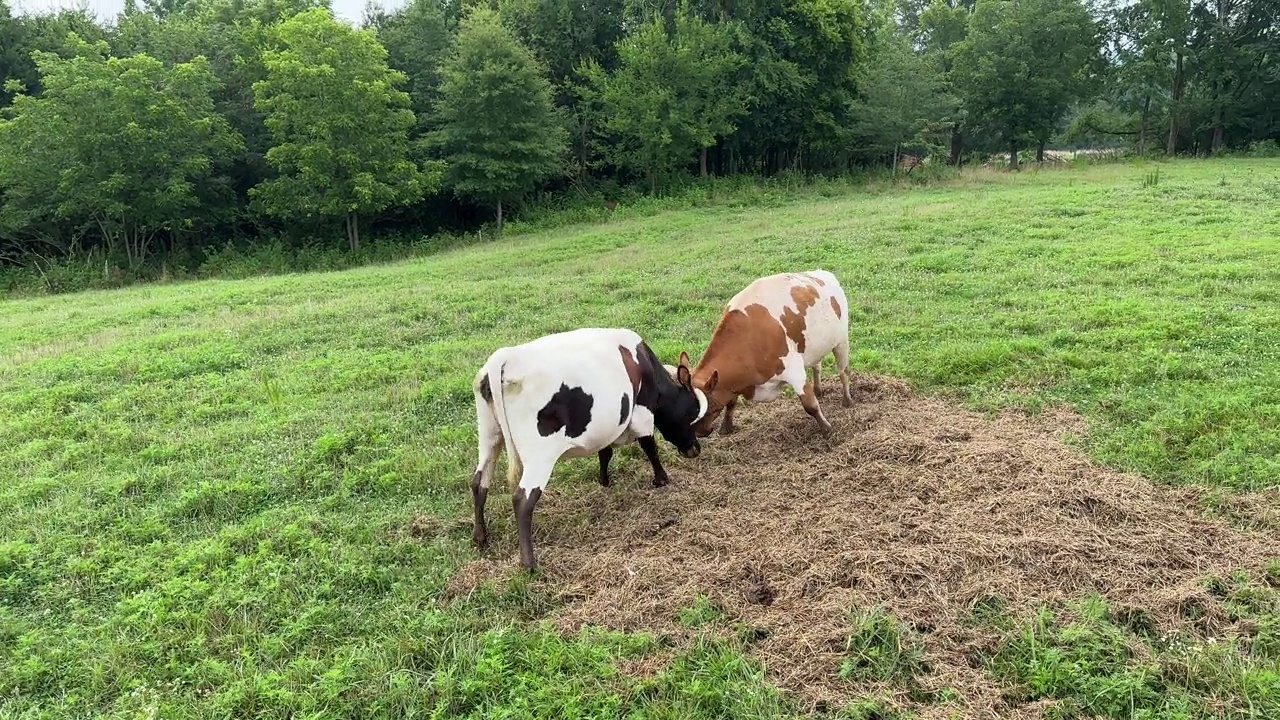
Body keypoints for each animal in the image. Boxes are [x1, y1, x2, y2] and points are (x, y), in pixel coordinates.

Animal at [471, 325, 716, 566]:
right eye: (693, 412)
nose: (695, 449)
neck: (644, 365)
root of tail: (505, 357)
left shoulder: (604, 427)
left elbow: (605, 452)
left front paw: (604, 481)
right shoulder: (642, 414)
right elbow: (649, 446)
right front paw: (661, 479)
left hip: (489, 438)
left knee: (478, 483)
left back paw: (480, 537)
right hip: (539, 456)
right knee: (523, 499)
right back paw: (529, 563)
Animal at [686, 269, 855, 435]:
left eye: (700, 410)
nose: (697, 433)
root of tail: (823, 272)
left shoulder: (794, 371)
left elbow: (810, 406)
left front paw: (827, 429)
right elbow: (730, 402)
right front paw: (726, 426)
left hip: (841, 342)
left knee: (843, 372)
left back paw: (847, 400)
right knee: (817, 366)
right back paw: (818, 390)